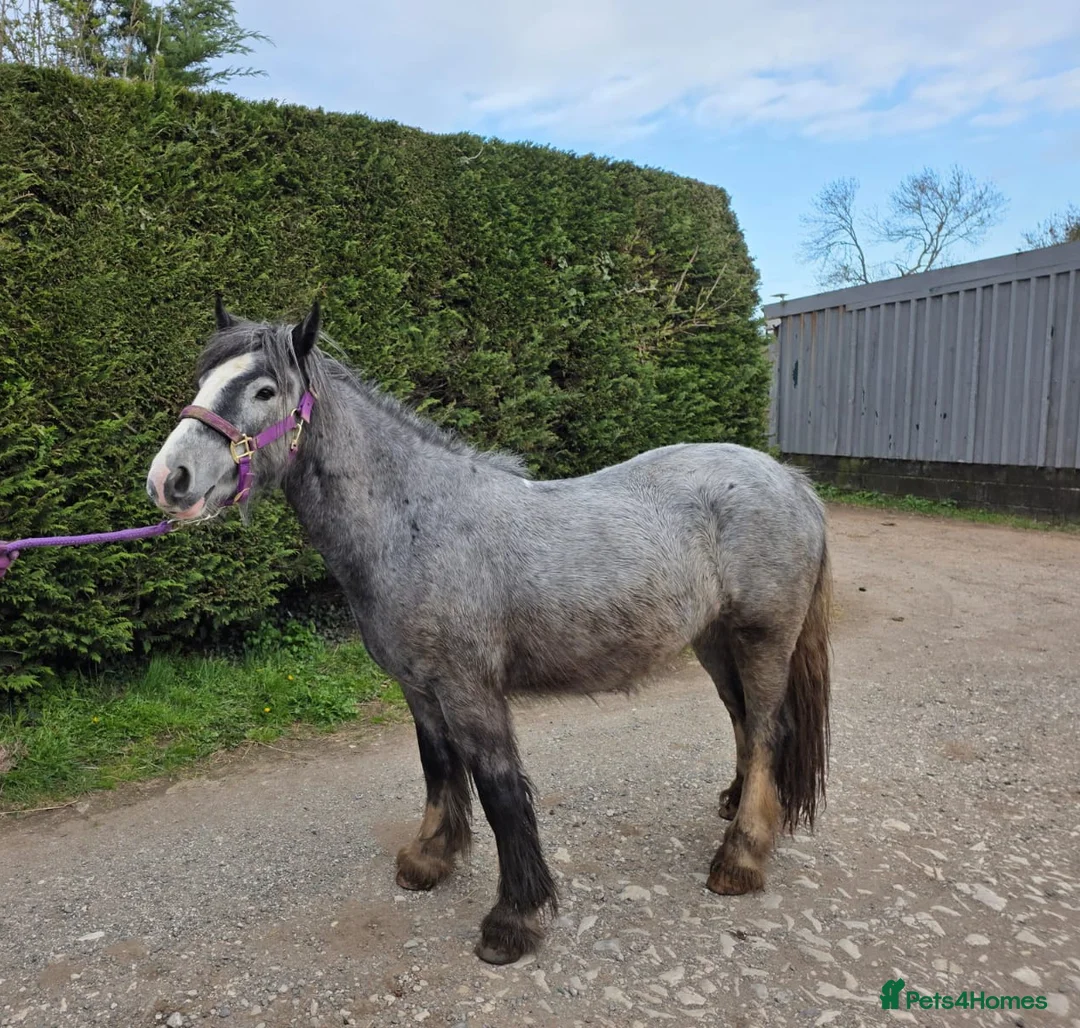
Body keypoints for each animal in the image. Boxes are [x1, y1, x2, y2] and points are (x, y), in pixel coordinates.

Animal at [146, 298, 832, 965]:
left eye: (264, 390)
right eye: (204, 380)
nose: (169, 479)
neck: (415, 522)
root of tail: (790, 481)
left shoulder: (470, 689)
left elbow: (501, 791)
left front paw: (513, 921)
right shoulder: (419, 688)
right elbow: (438, 765)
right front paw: (430, 858)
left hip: (762, 638)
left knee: (768, 729)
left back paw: (740, 857)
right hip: (714, 642)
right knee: (742, 721)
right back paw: (735, 809)